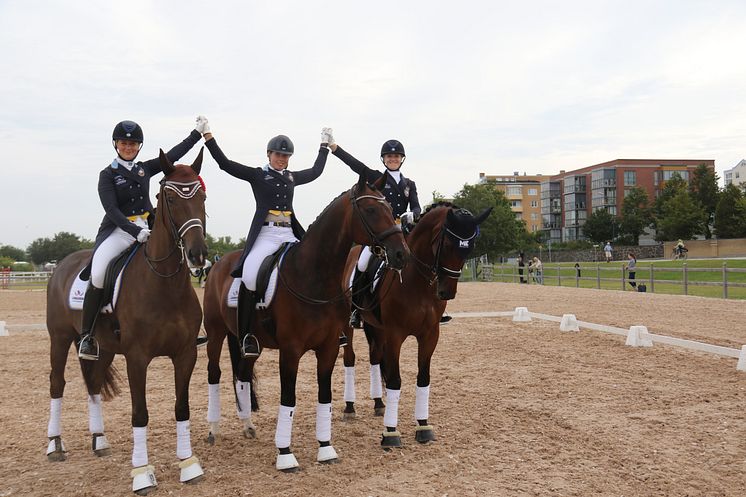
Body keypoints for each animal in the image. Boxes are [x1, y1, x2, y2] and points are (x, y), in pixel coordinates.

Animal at [45, 149, 208, 494]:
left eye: (202, 196)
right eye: (170, 199)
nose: (198, 255)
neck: (164, 283)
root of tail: (64, 263)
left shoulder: (186, 354)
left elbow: (182, 406)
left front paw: (188, 464)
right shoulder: (137, 358)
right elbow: (140, 413)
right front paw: (142, 473)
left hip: (103, 348)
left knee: (93, 382)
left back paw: (99, 440)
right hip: (60, 338)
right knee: (57, 384)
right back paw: (55, 445)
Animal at [202, 172, 406, 470]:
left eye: (390, 209)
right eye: (370, 210)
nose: (401, 253)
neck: (312, 276)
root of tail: (220, 263)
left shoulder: (328, 348)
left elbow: (325, 397)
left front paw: (326, 448)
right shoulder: (290, 351)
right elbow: (288, 398)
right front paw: (285, 454)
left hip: (250, 342)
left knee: (242, 374)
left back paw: (248, 426)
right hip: (215, 334)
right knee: (214, 373)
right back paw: (213, 430)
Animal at [340, 201, 492, 446]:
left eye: (469, 248)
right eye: (447, 244)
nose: (446, 292)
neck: (416, 283)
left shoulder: (430, 335)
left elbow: (423, 378)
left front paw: (423, 426)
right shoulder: (395, 335)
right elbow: (395, 380)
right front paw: (391, 432)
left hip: (377, 328)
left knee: (374, 358)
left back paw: (379, 404)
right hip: (350, 325)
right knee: (350, 359)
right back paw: (350, 407)